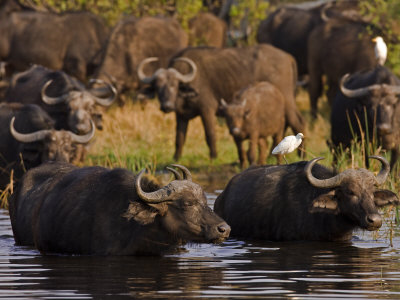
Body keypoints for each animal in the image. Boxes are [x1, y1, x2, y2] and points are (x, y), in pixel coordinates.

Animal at [139, 44, 304, 161]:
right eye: (158, 86)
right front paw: (176, 158)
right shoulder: (181, 115)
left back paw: (300, 154)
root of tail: (287, 56)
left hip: (287, 100)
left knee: (297, 122)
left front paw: (213, 156)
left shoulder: (207, 109)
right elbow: (179, 138)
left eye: (174, 84)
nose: (167, 106)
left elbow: (210, 133)